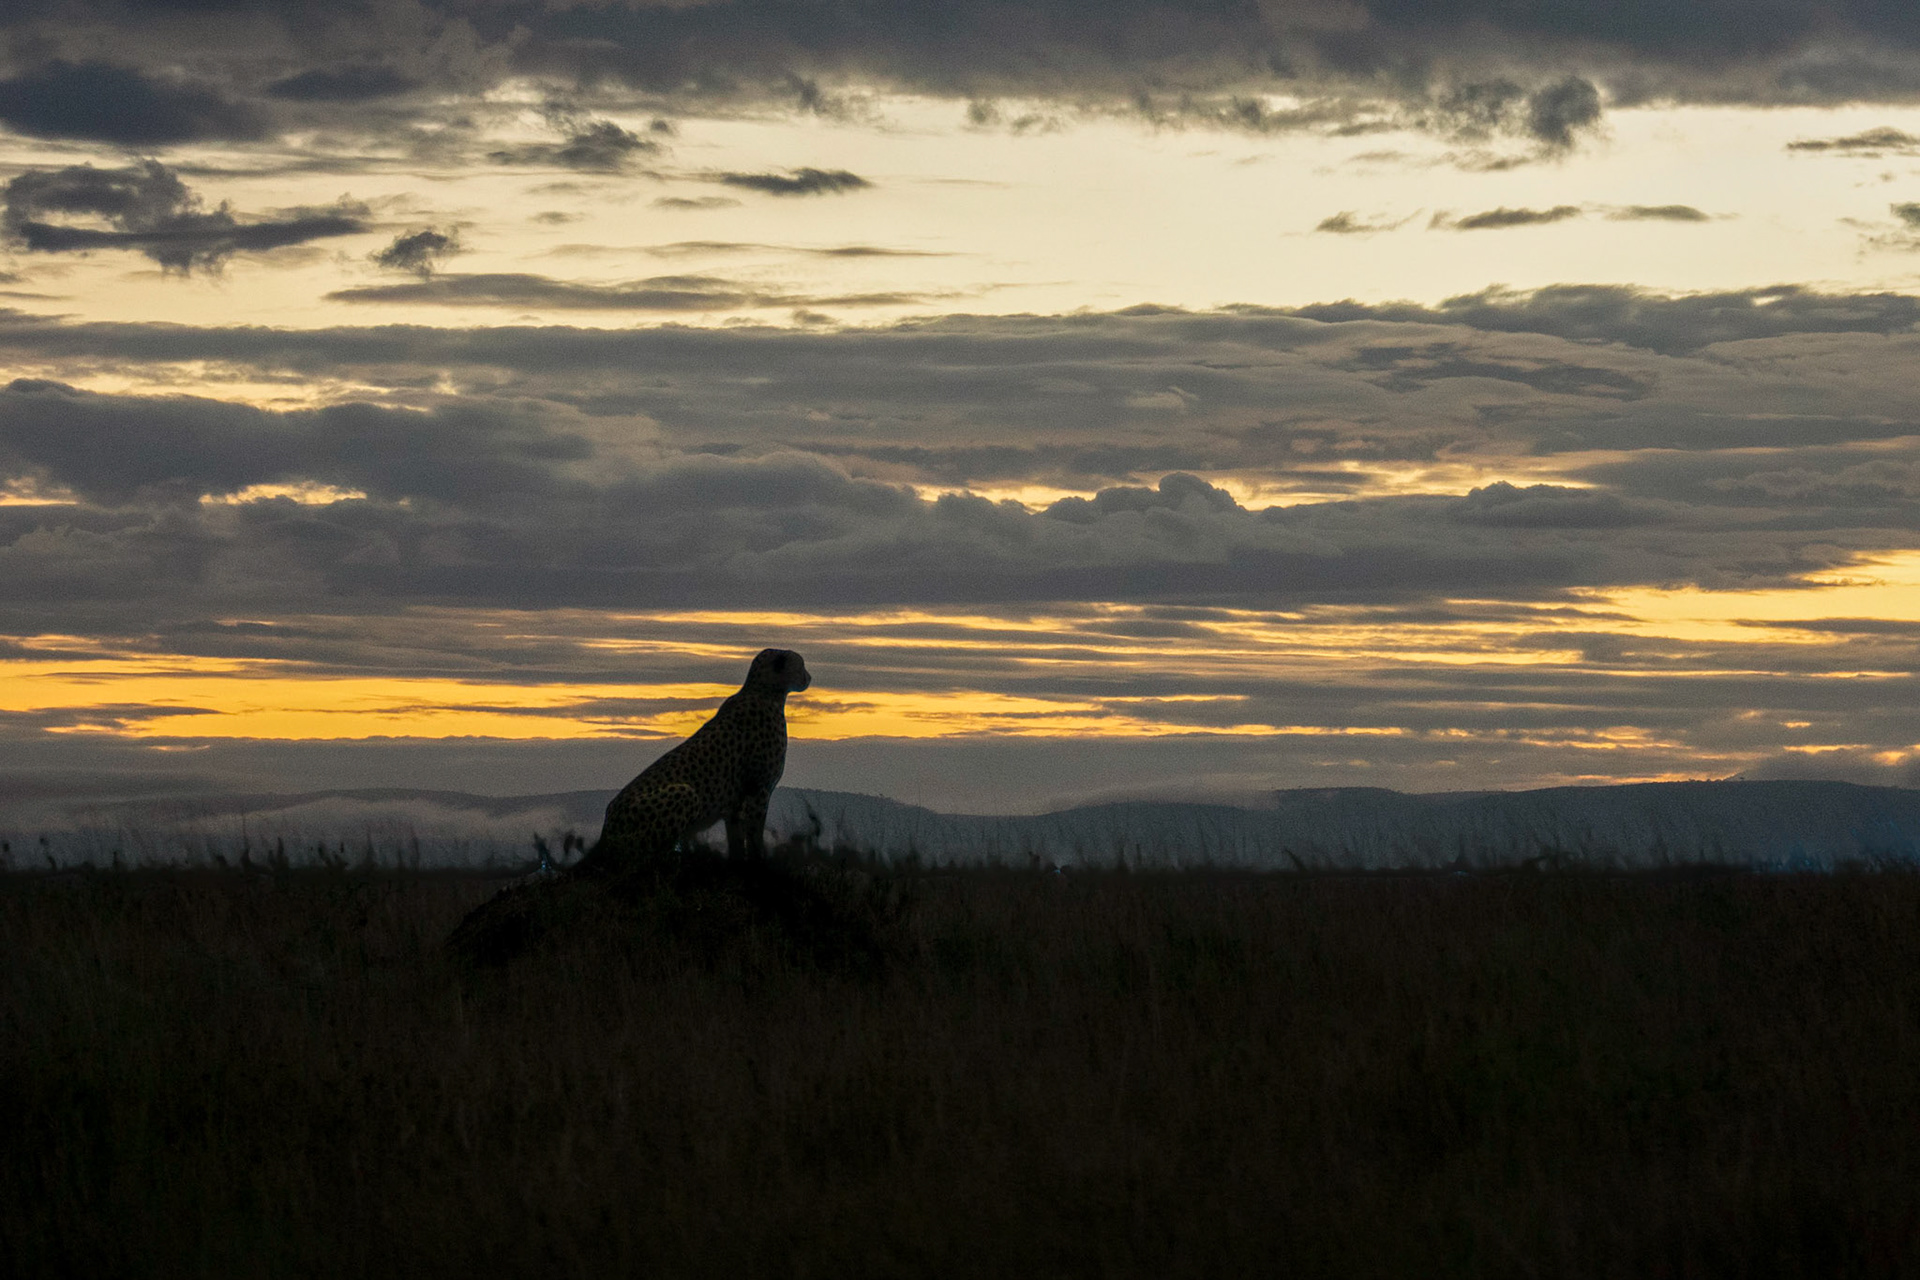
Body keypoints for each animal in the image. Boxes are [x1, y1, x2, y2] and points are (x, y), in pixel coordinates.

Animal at [577, 647, 812, 874]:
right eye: (801, 664)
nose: (808, 677)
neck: (763, 691)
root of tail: (606, 829)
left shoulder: (735, 800)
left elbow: (736, 838)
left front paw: (738, 865)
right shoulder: (759, 790)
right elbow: (755, 834)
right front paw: (759, 865)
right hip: (685, 793)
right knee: (642, 860)